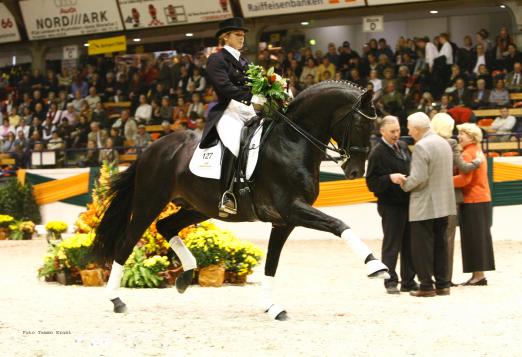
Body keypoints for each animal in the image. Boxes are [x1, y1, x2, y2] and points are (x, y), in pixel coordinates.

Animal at [92, 80, 386, 320]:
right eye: (361, 124)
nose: (355, 171)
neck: (292, 141)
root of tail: (152, 148)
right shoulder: (292, 209)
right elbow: (339, 224)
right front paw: (376, 266)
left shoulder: (284, 221)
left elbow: (272, 264)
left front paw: (272, 307)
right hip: (149, 202)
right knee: (126, 243)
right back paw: (116, 300)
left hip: (199, 208)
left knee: (166, 226)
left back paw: (185, 277)